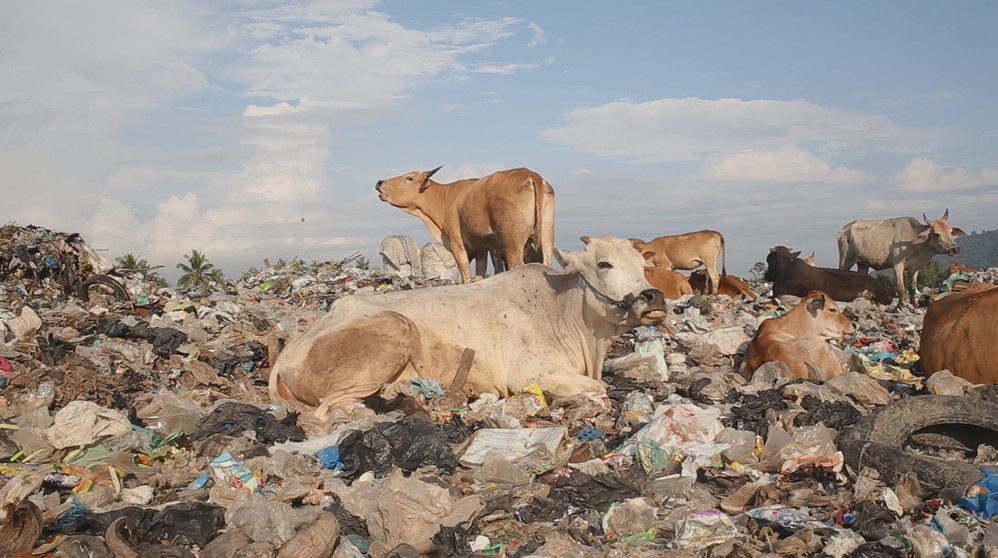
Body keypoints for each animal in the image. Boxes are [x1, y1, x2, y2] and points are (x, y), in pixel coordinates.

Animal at [268, 236, 666, 419]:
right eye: (604, 264)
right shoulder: (530, 375)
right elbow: (598, 391)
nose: (654, 296)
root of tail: (288, 353)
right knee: (327, 410)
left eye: (643, 265)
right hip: (392, 331)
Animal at [376, 167, 555, 283]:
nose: (379, 182)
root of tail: (529, 174)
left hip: (513, 242)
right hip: (546, 238)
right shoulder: (482, 248)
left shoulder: (457, 245)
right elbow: (479, 273)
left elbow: (465, 276)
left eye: (409, 178)